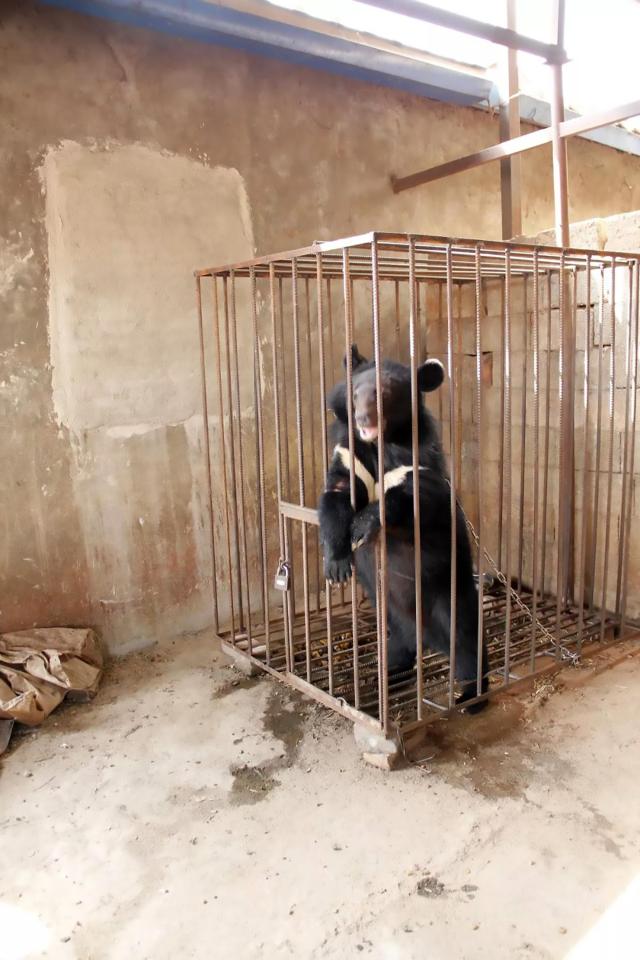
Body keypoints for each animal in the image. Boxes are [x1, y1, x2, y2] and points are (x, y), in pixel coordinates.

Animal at [320, 344, 490, 712]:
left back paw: (472, 695)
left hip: (449, 594)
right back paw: (388, 670)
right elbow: (337, 492)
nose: (363, 419)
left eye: (384, 394)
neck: (379, 443)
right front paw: (338, 564)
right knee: (398, 642)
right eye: (355, 393)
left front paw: (363, 525)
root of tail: (425, 635)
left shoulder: (419, 458)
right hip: (386, 611)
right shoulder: (348, 452)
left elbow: (413, 498)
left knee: (467, 642)